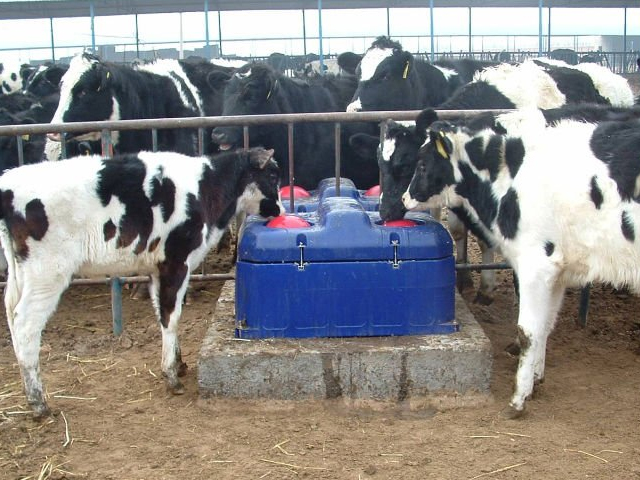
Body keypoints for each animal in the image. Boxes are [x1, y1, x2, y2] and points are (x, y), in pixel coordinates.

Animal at [0, 145, 282, 416]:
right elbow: (171, 315)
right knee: (26, 323)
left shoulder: (157, 269)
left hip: (21, 272)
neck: (206, 187)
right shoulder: (175, 262)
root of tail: (9, 184)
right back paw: (38, 402)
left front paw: (179, 363)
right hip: (48, 271)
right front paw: (171, 376)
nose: (280, 209)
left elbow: (163, 314)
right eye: (272, 175)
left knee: (11, 313)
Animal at [402, 109, 640, 416]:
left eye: (421, 164)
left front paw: (518, 399)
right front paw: (536, 381)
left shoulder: (535, 264)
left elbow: (528, 331)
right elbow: (544, 326)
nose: (404, 198)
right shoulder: (557, 272)